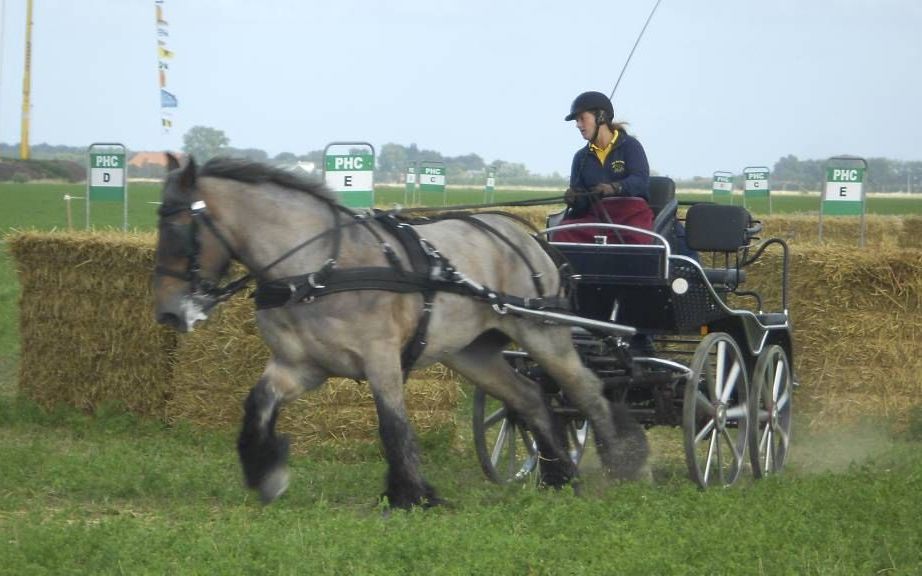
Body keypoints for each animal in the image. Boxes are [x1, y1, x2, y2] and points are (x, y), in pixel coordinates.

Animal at [153, 154, 648, 508]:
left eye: (179, 230)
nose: (169, 315)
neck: (319, 267)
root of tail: (526, 236)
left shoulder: (381, 358)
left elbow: (393, 425)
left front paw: (412, 495)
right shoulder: (299, 366)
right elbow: (257, 406)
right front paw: (266, 474)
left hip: (542, 333)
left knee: (586, 391)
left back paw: (623, 464)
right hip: (474, 353)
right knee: (528, 399)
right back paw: (558, 476)